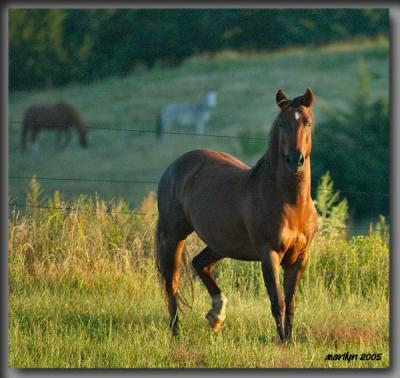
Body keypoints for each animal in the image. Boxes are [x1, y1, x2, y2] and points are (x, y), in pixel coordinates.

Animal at [155, 87, 318, 342]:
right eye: (282, 124)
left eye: (308, 123)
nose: (295, 159)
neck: (291, 203)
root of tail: (174, 167)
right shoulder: (269, 255)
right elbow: (278, 302)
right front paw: (281, 342)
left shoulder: (300, 258)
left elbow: (291, 304)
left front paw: (290, 341)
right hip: (174, 236)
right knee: (171, 282)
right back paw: (176, 331)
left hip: (220, 243)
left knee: (199, 263)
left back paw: (217, 314)